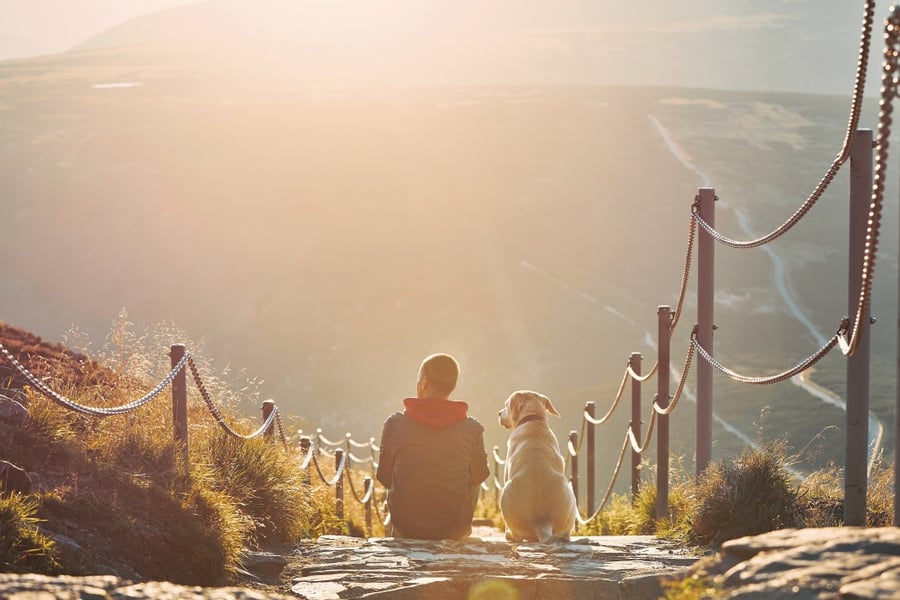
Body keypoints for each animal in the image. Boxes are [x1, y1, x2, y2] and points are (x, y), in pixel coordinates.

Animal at [500, 390, 576, 544]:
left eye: (506, 405)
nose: (499, 413)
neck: (533, 420)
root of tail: (542, 523)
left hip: (505, 492)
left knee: (518, 535)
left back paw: (509, 535)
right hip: (571, 495)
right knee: (565, 535)